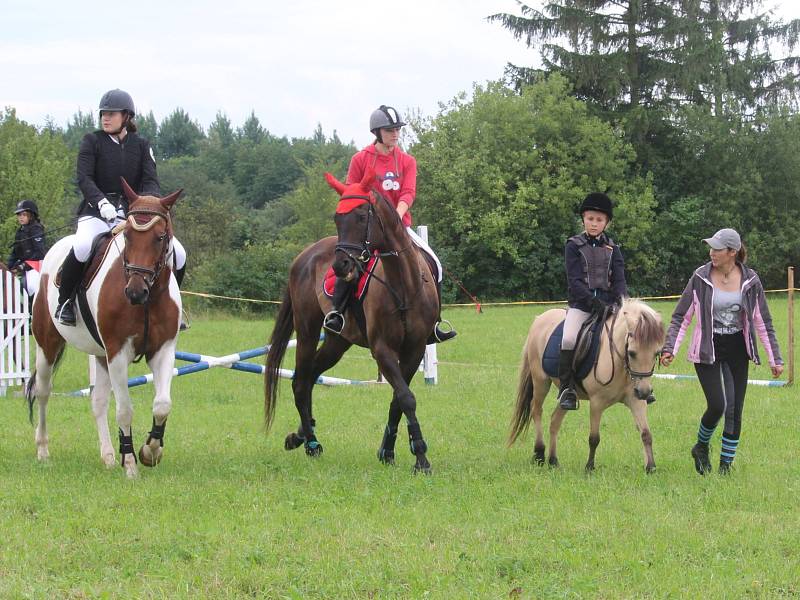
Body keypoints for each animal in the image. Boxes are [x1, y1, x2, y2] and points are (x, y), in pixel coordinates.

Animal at [28, 179, 183, 478]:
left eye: (160, 237)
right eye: (128, 237)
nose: (134, 292)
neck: (149, 300)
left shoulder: (163, 350)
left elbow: (162, 404)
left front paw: (150, 451)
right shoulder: (118, 352)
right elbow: (124, 410)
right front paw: (131, 464)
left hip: (99, 354)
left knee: (98, 401)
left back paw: (109, 456)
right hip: (48, 345)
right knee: (43, 391)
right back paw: (42, 451)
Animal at [264, 169, 440, 474]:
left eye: (360, 216)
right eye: (337, 218)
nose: (341, 265)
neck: (403, 285)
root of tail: (303, 256)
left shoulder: (415, 349)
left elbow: (399, 399)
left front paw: (388, 451)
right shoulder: (382, 350)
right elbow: (406, 397)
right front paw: (421, 457)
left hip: (337, 342)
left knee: (311, 375)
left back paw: (301, 434)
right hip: (308, 331)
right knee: (300, 381)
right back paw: (310, 443)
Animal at [510, 300, 664, 474]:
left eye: (656, 353)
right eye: (631, 353)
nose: (644, 392)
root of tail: (540, 318)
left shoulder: (635, 401)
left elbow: (646, 434)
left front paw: (650, 467)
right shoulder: (597, 402)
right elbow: (594, 438)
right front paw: (589, 467)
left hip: (567, 395)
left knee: (555, 419)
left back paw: (553, 460)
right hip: (540, 382)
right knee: (536, 410)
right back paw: (540, 453)